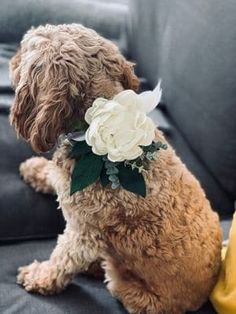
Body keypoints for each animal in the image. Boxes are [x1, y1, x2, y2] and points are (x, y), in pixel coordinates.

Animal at [9, 24, 223, 314]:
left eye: (24, 51)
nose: (11, 60)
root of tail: (205, 293)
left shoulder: (84, 233)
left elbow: (62, 260)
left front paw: (39, 277)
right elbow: (54, 175)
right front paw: (35, 170)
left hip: (132, 290)